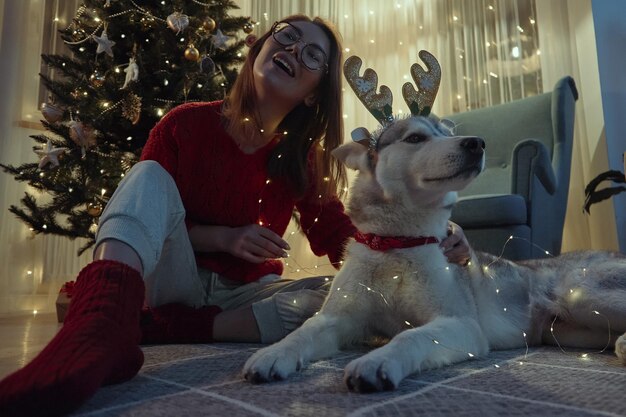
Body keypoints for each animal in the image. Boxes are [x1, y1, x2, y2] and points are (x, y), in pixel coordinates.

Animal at [240, 115, 624, 392]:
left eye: (447, 132)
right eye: (415, 138)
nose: (477, 143)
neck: (396, 248)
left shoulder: (462, 325)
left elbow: (411, 335)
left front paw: (378, 362)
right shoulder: (339, 318)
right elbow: (303, 330)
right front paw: (273, 353)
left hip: (581, 295)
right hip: (568, 330)